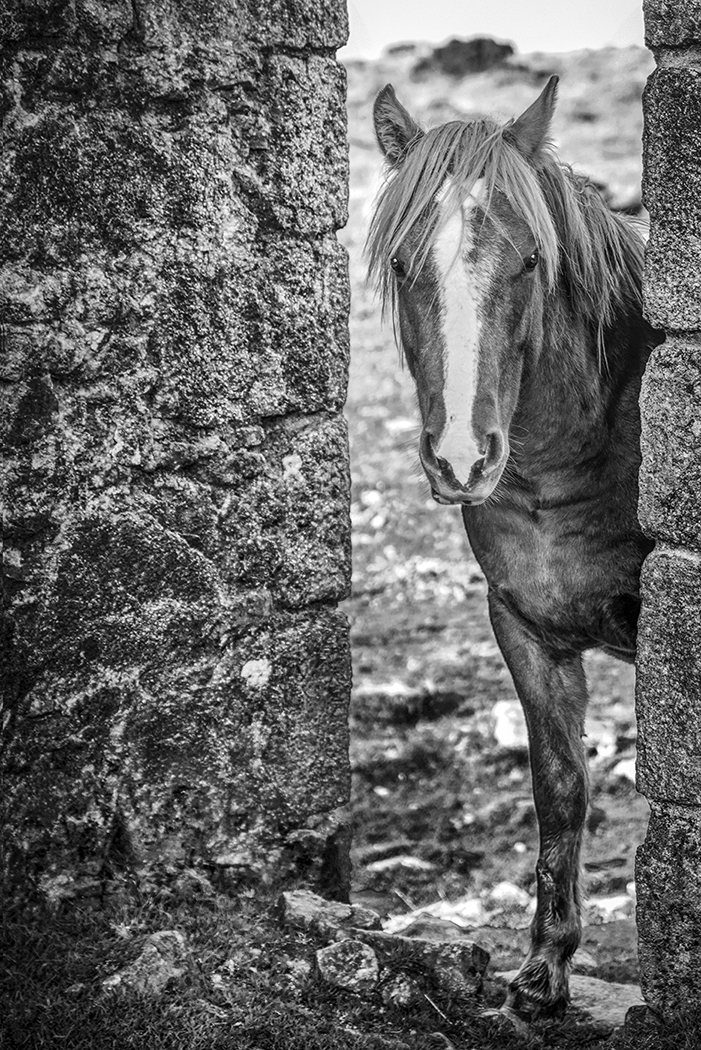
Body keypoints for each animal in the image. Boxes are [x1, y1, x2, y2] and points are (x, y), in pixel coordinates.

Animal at [367, 76, 663, 1024]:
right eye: (400, 265)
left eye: (531, 262)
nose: (463, 459)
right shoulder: (524, 630)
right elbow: (559, 788)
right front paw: (543, 971)